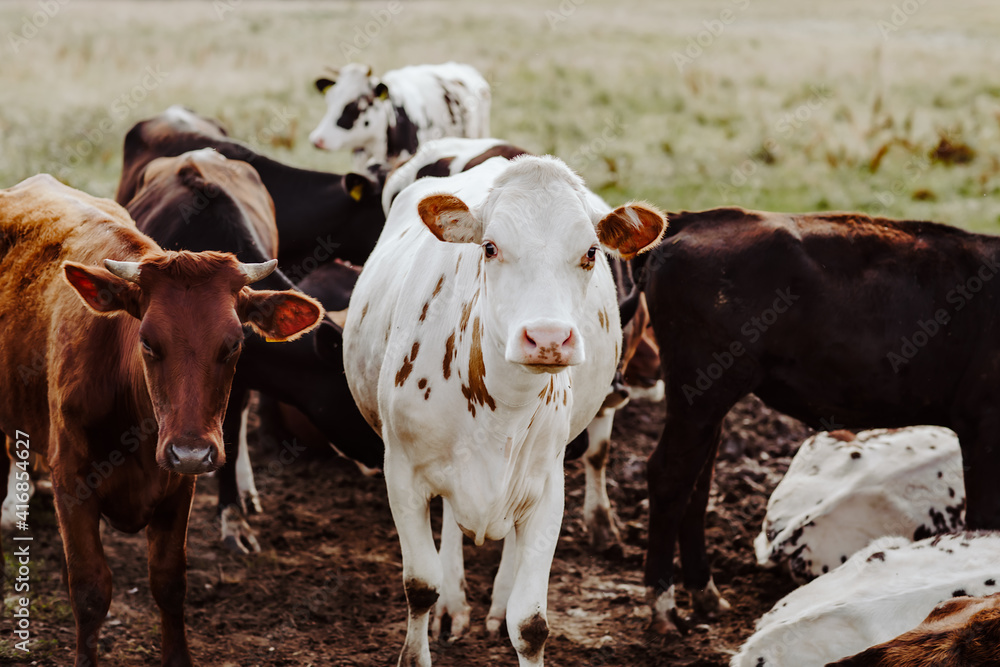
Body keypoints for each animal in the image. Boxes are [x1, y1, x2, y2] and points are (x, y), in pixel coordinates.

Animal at [0, 175, 322, 664]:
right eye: (148, 341)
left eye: (234, 344)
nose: (190, 451)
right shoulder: (72, 484)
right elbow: (90, 591)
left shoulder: (178, 488)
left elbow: (169, 583)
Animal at [342, 154, 664, 664]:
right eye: (490, 248)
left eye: (591, 252)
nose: (548, 337)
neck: (501, 409)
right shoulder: (402, 473)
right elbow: (421, 586)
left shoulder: (548, 487)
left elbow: (530, 624)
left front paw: (510, 609)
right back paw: (455, 604)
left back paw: (495, 602)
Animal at [636, 209, 1000, 636]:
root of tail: (697, 219)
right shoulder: (983, 426)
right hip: (700, 389)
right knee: (669, 477)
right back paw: (663, 607)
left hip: (709, 399)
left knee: (697, 484)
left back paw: (706, 594)